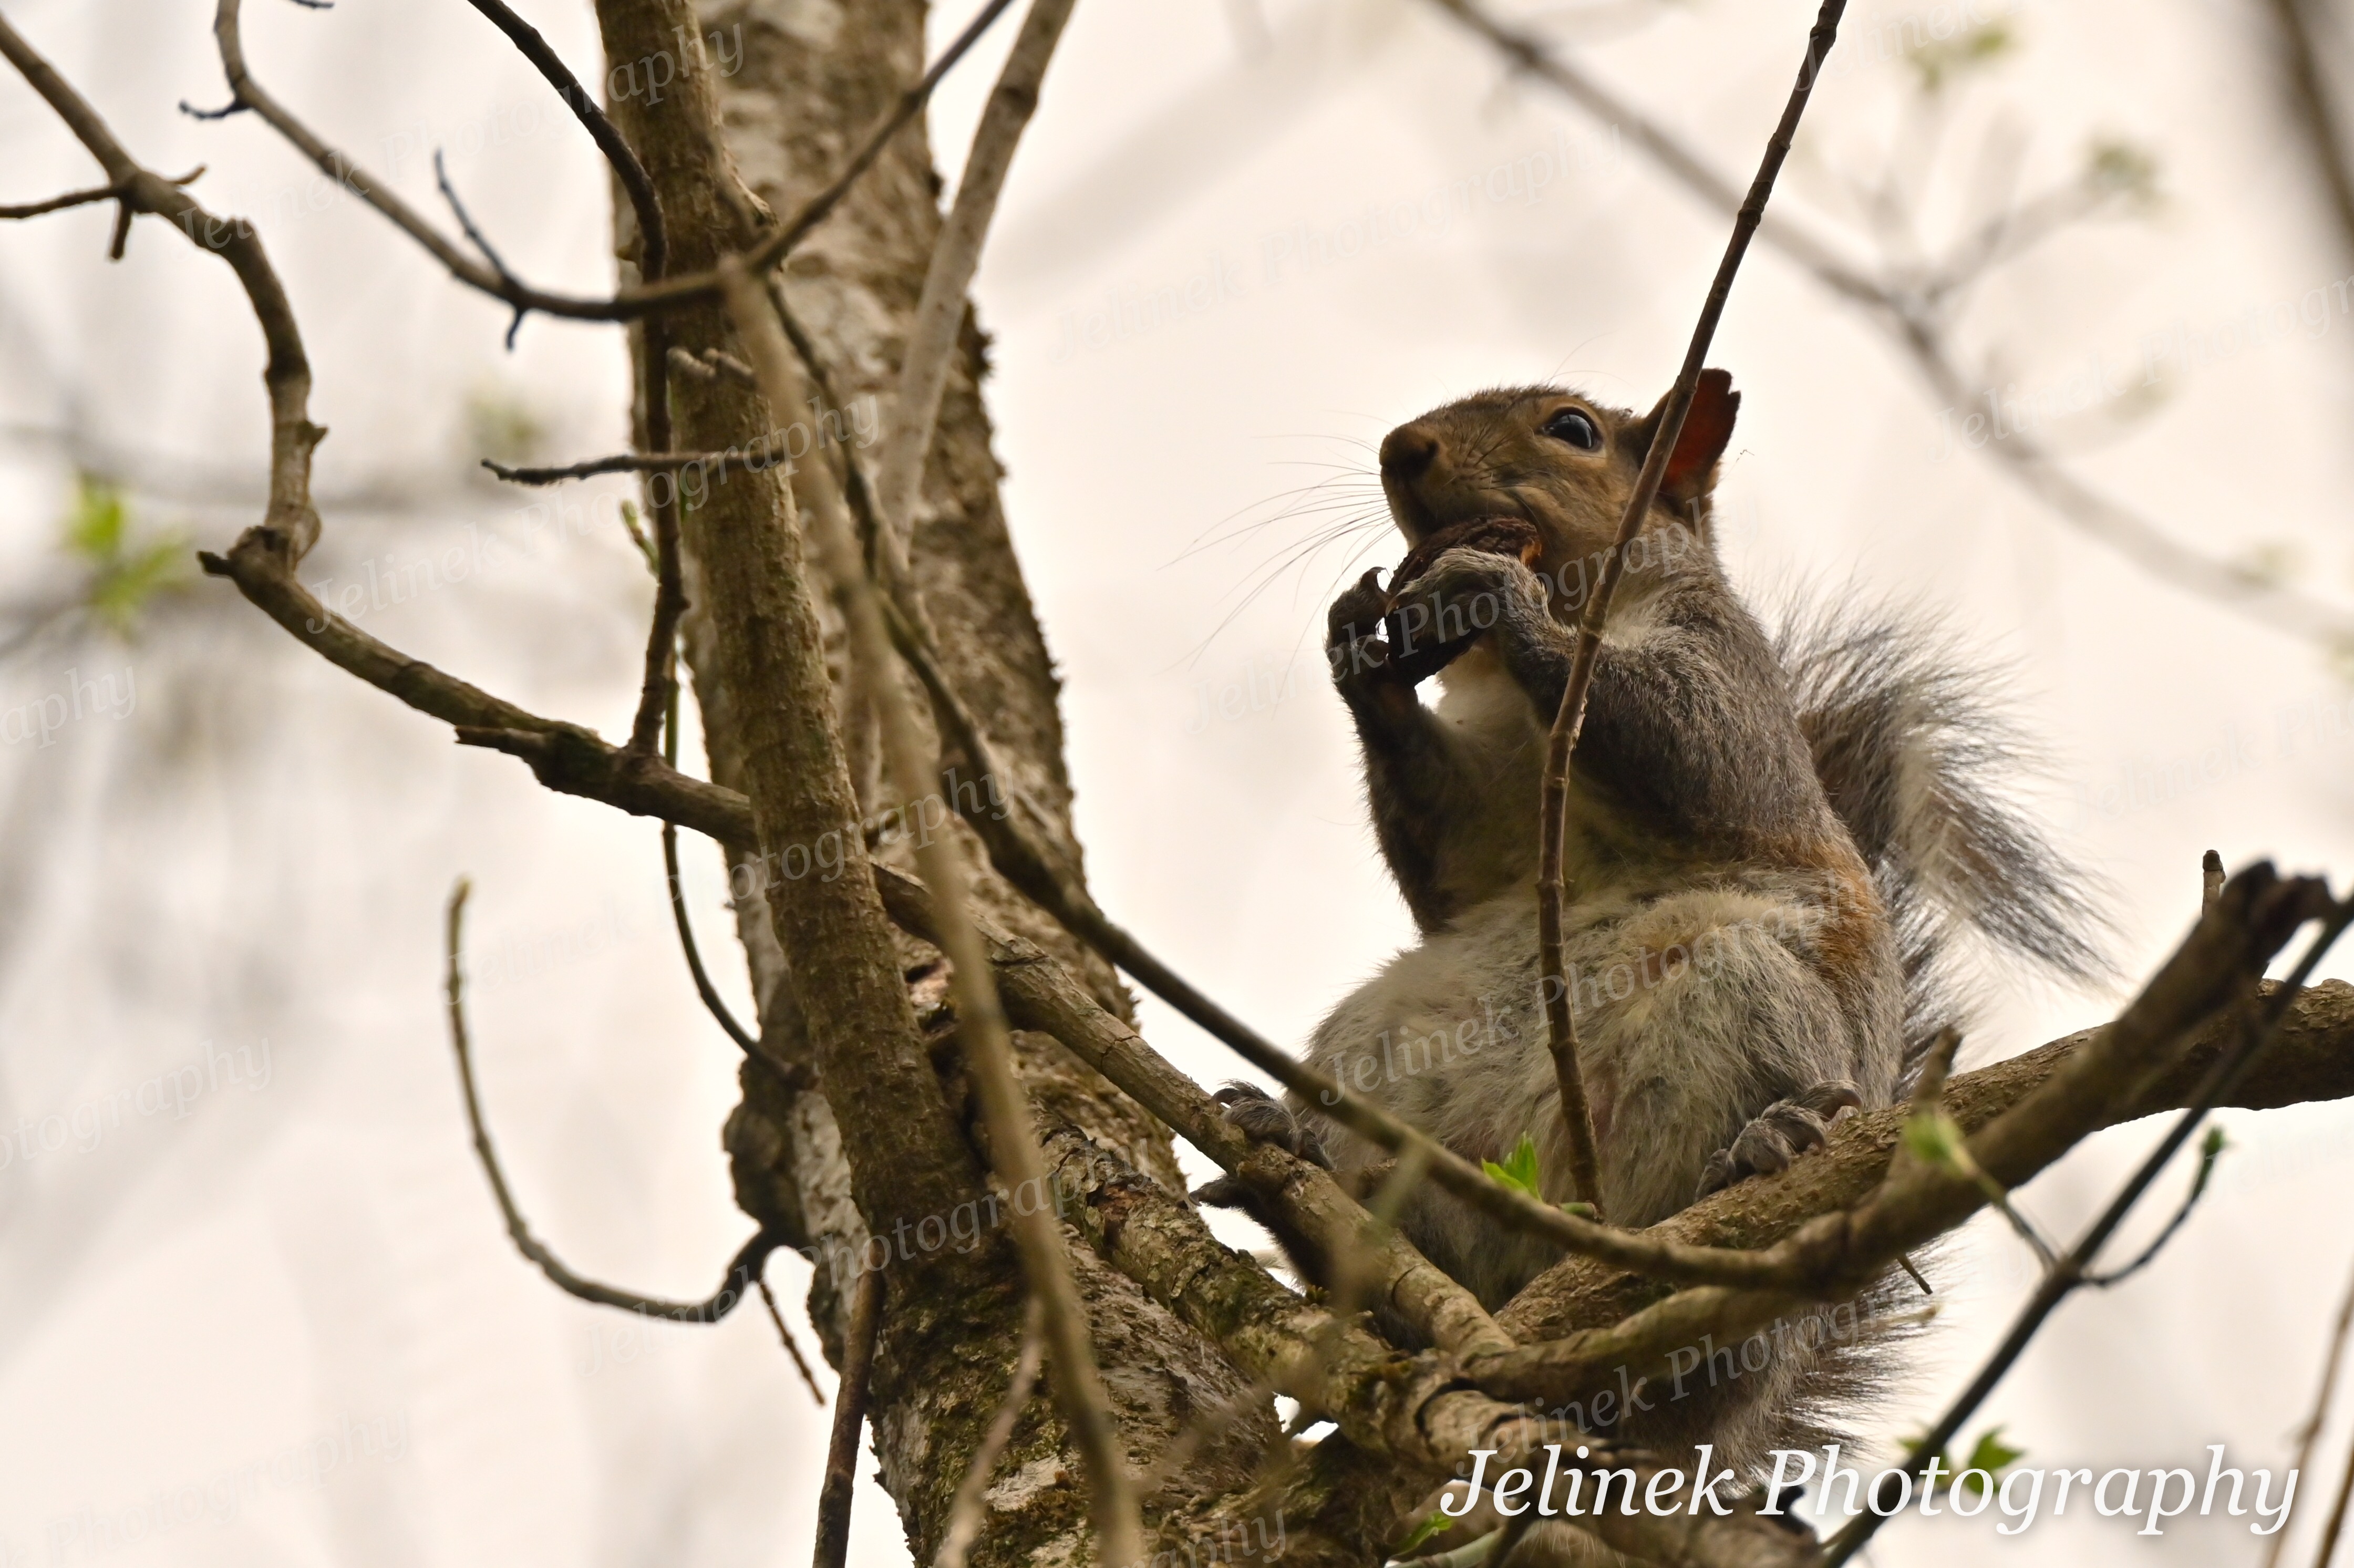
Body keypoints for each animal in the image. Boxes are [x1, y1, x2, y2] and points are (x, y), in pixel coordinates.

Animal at [1197, 371, 2104, 1545]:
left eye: (1572, 430)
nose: (1403, 448)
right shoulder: (1478, 800)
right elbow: (1442, 853)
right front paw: (1357, 641)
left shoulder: (1726, 678)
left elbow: (1687, 742)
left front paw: (1494, 594)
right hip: (1389, 1054)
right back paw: (1299, 1161)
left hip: (1749, 998)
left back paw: (1771, 1146)